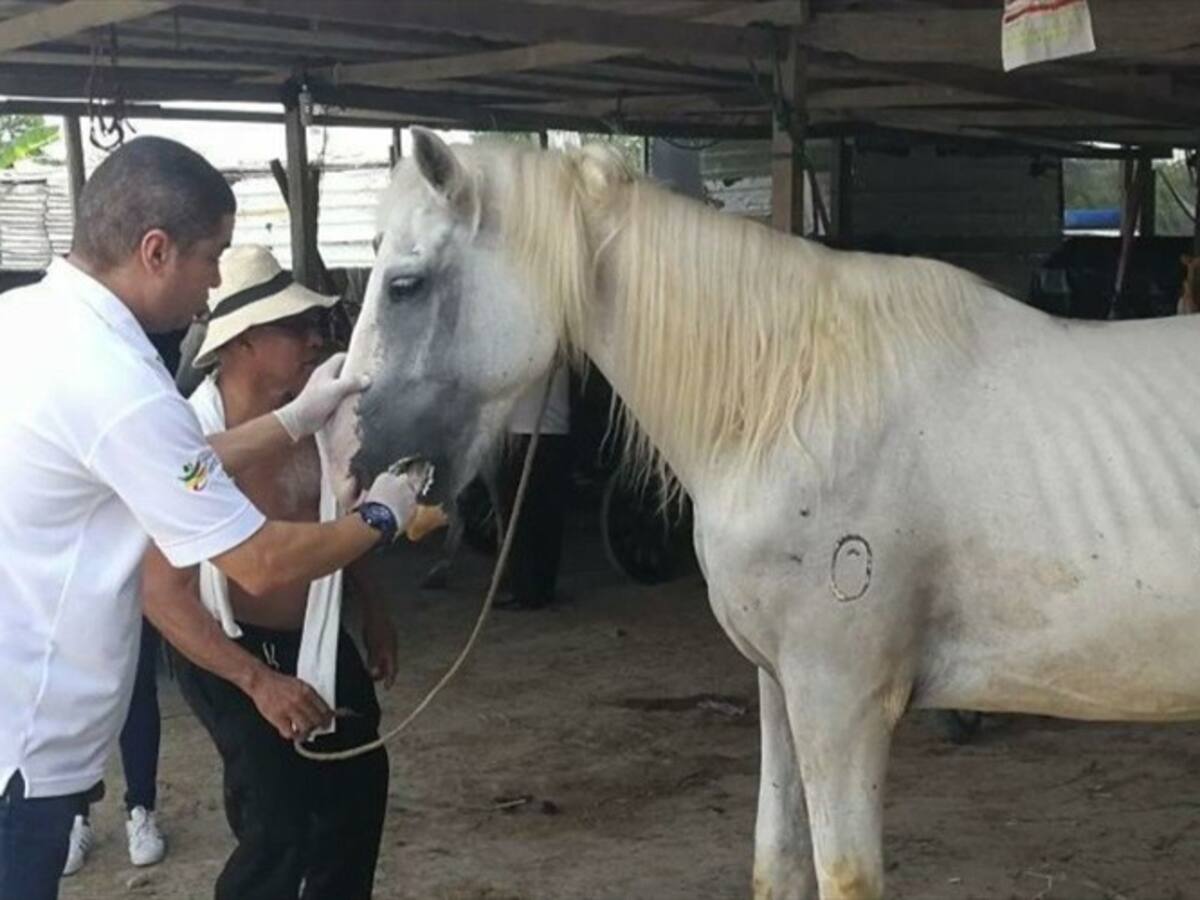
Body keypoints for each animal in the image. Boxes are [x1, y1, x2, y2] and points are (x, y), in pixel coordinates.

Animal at [326, 129, 1200, 900]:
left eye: (405, 284)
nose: (344, 453)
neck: (795, 404)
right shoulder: (782, 685)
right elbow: (776, 866)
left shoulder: (840, 702)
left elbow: (844, 877)